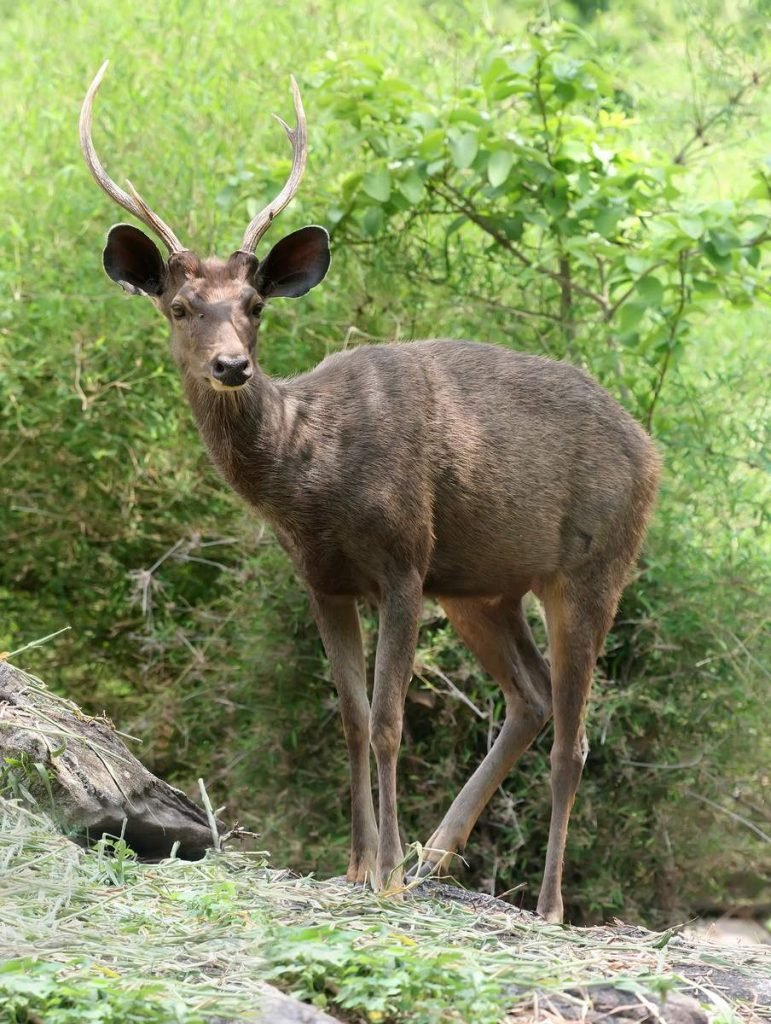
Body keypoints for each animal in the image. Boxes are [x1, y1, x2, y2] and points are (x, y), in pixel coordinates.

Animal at [81, 66, 663, 929]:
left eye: (254, 306)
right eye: (179, 307)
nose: (231, 366)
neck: (308, 472)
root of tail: (651, 450)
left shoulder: (402, 561)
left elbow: (390, 720)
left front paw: (383, 873)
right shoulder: (322, 579)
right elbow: (352, 719)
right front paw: (359, 866)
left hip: (594, 564)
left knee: (573, 736)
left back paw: (545, 902)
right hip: (483, 587)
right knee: (529, 699)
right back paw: (436, 855)